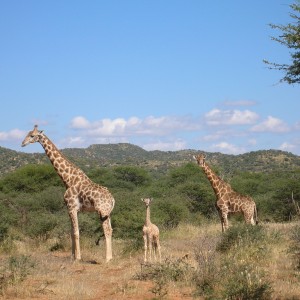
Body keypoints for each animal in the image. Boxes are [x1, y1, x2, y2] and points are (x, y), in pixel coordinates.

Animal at [21, 125, 115, 262]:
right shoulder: (70, 209)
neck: (68, 179)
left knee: (107, 230)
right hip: (107, 212)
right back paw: (110, 257)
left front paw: (78, 258)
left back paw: (107, 258)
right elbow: (71, 232)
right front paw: (72, 256)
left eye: (32, 135)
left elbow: (76, 232)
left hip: (101, 211)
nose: (22, 143)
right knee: (111, 229)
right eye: (27, 134)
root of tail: (112, 199)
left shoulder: (72, 208)